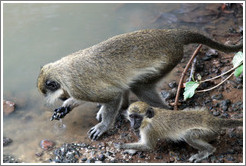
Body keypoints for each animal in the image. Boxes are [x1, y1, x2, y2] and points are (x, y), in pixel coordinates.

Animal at [37, 28, 242, 140]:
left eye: (48, 92)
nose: (61, 98)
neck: (61, 72)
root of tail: (171, 35)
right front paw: (65, 107)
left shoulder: (78, 86)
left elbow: (112, 96)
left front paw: (104, 126)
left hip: (167, 61)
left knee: (139, 87)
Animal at [116, 101, 244, 162]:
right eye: (131, 117)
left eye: (137, 118)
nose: (133, 124)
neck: (149, 119)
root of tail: (213, 120)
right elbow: (142, 144)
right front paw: (132, 149)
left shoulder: (149, 129)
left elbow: (148, 146)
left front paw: (121, 145)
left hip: (209, 132)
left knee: (189, 135)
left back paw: (207, 151)